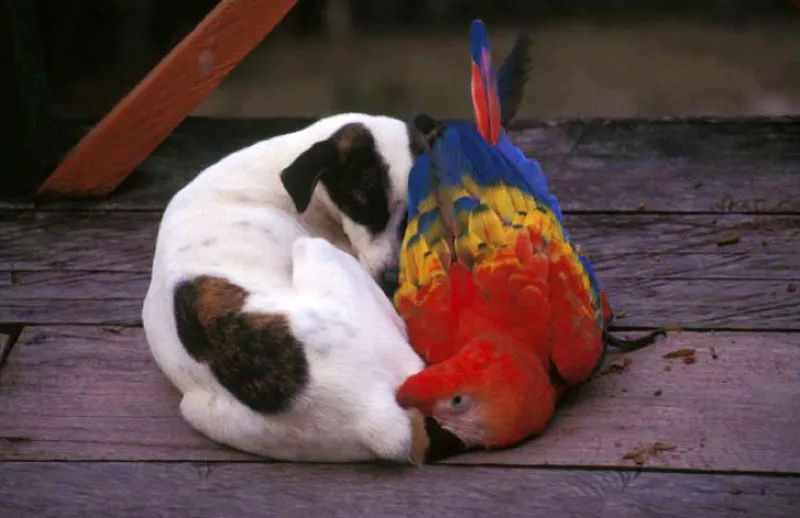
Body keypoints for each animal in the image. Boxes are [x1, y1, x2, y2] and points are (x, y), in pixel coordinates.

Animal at [143, 115, 444, 468]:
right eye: (362, 206)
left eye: (412, 214)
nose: (390, 279)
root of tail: (371, 413)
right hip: (314, 248)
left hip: (200, 413)